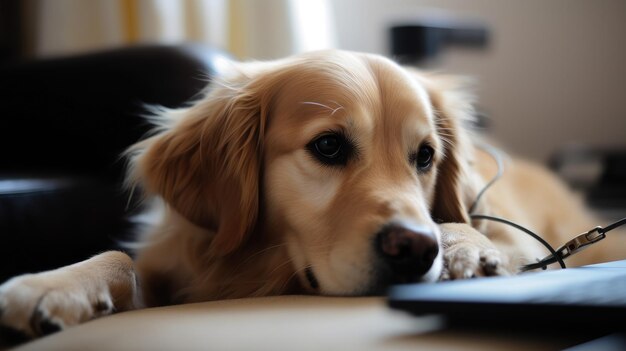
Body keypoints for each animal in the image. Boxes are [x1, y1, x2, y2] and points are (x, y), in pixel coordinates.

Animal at [1, 49, 624, 338]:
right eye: (328, 146)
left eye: (425, 157)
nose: (415, 250)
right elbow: (119, 258)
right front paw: (49, 286)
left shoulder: (530, 245)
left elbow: (483, 234)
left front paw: (465, 248)